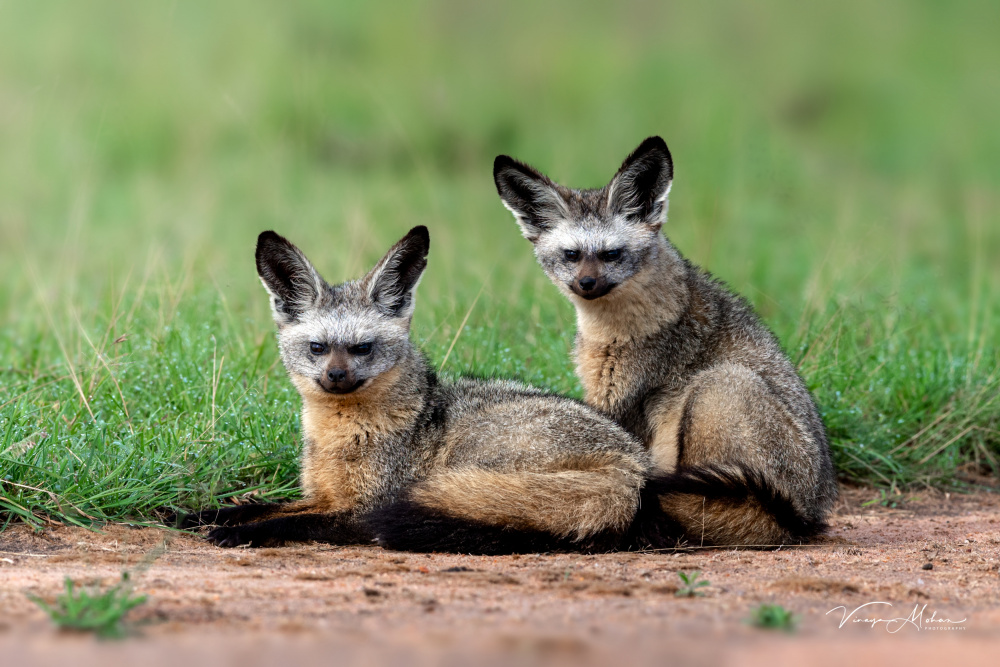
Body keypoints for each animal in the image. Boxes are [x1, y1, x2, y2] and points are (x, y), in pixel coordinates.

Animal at [178, 224, 688, 552]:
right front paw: (197, 515)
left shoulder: (362, 507)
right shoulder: (323, 495)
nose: (336, 378)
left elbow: (285, 521)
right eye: (318, 348)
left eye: (362, 348)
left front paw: (240, 534)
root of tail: (633, 464)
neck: (340, 439)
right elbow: (257, 505)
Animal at [496, 137, 840, 548]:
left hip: (718, 388)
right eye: (571, 255)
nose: (586, 284)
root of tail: (807, 517)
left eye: (612, 254)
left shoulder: (619, 403)